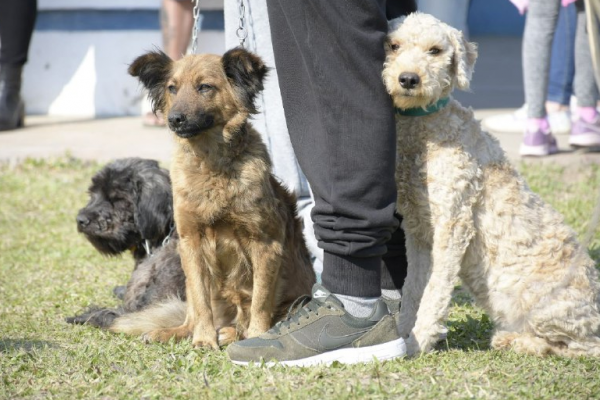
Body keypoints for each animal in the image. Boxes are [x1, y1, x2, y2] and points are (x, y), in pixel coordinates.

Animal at [118, 48, 314, 350]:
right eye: (172, 88)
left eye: (204, 87)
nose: (174, 119)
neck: (211, 166)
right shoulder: (190, 242)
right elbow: (201, 302)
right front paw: (203, 339)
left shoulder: (266, 244)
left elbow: (261, 300)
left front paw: (257, 337)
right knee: (193, 313)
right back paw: (176, 332)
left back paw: (233, 333)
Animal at [384, 12, 600, 358]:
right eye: (393, 45)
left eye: (435, 50)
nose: (408, 78)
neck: (424, 127)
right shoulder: (418, 231)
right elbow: (413, 286)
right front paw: (403, 333)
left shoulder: (453, 223)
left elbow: (435, 289)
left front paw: (419, 339)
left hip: (544, 304)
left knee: (578, 347)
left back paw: (513, 340)